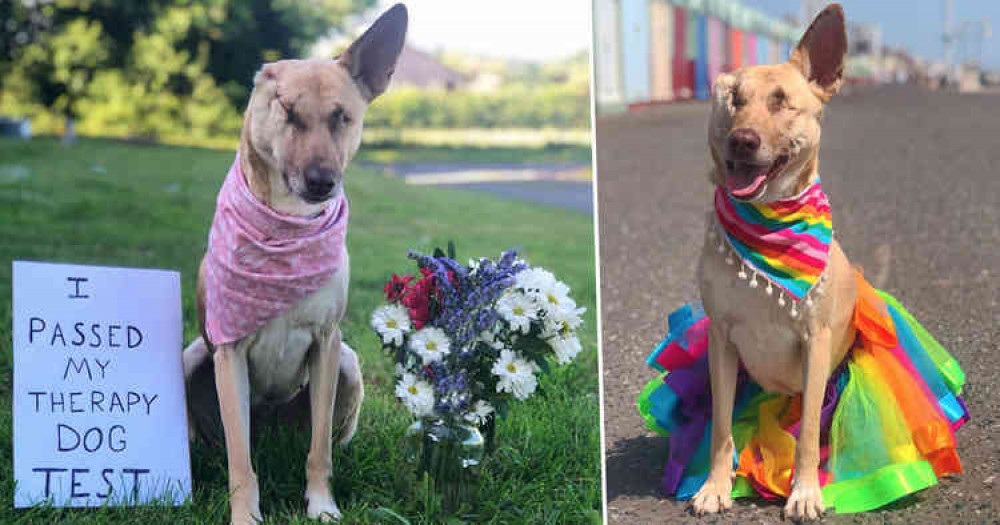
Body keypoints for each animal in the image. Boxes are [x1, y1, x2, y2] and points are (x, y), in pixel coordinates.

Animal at [182, 5, 408, 524]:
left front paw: (322, 504)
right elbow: (240, 460)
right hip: (192, 357)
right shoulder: (228, 352)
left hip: (348, 364)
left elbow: (319, 449)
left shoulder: (327, 343)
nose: (323, 181)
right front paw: (245, 515)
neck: (285, 228)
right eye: (287, 111)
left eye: (343, 117)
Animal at [696, 5, 852, 520]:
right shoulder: (721, 339)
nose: (743, 140)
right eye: (734, 100)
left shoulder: (815, 342)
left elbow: (805, 436)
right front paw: (715, 486)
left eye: (782, 102)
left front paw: (804, 492)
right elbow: (721, 427)